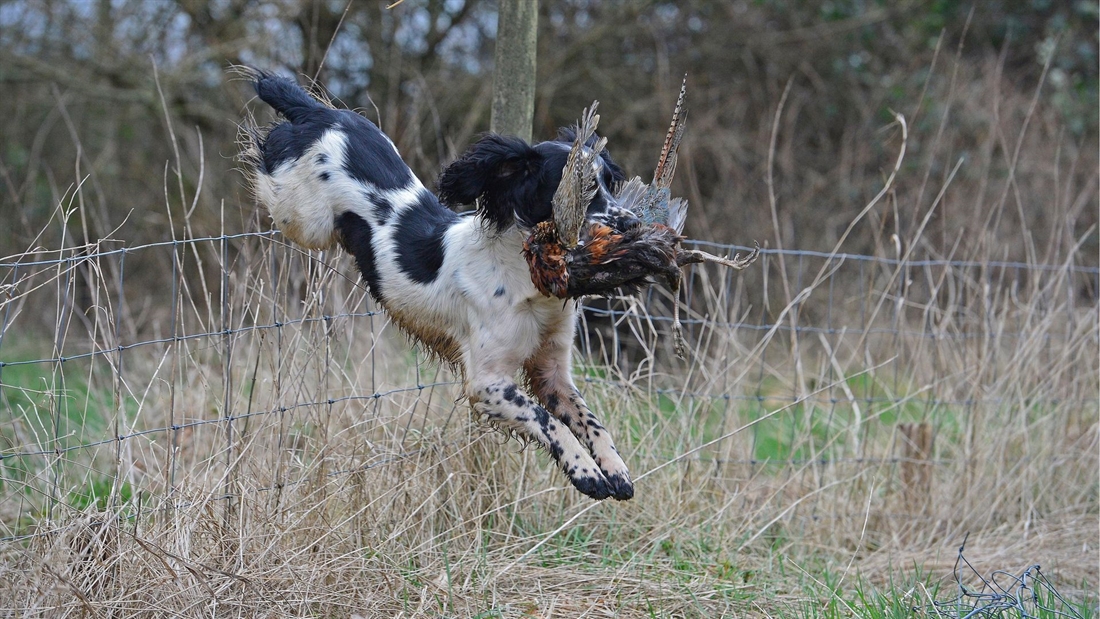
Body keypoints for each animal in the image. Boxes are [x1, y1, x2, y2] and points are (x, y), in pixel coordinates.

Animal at [240, 70, 638, 501]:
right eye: (582, 191)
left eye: (609, 182)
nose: (633, 224)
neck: (526, 278)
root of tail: (319, 114)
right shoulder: (487, 382)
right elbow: (550, 422)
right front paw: (586, 472)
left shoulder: (552, 371)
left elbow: (590, 421)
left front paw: (615, 469)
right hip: (301, 219)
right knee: (263, 165)